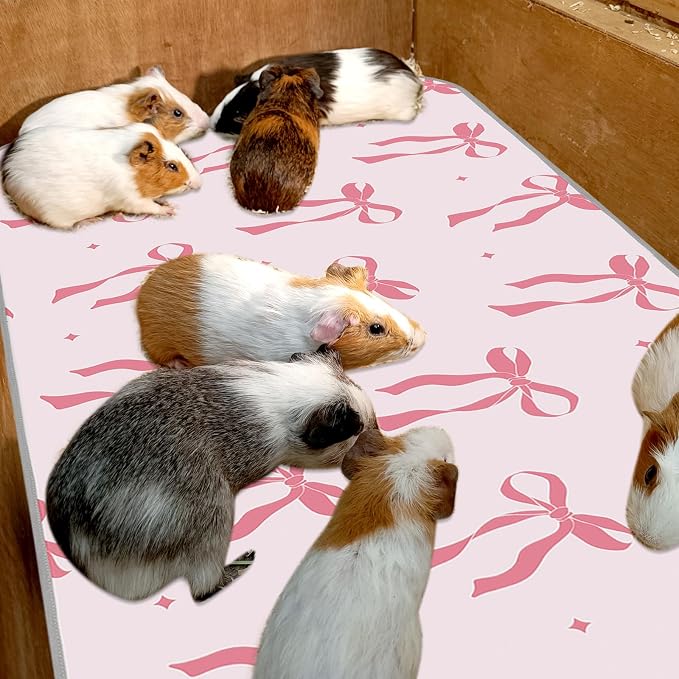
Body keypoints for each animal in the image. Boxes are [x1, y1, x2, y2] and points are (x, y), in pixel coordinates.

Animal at [1, 123, 201, 229]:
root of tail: (7, 171)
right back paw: (90, 221)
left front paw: (169, 203)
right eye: (172, 166)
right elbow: (150, 206)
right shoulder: (131, 200)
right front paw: (170, 210)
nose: (198, 183)